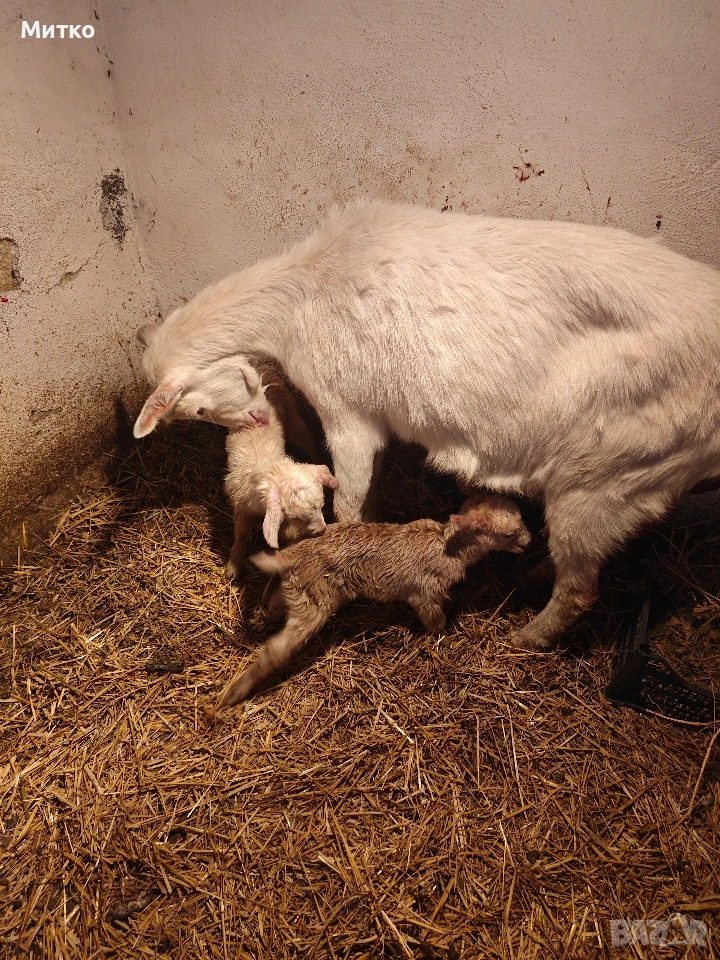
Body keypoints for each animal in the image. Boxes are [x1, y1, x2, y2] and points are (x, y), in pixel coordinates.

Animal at [216, 493, 531, 707]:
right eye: (508, 533)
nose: (529, 542)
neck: (447, 545)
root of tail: (293, 553)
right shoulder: (425, 594)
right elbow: (436, 621)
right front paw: (444, 640)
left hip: (303, 589)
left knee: (276, 601)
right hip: (316, 604)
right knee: (275, 649)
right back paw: (232, 695)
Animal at [224, 392, 338, 579]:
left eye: (322, 506)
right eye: (296, 517)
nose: (322, 531)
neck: (269, 468)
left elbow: (288, 534)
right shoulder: (242, 505)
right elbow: (241, 534)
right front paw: (234, 564)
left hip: (294, 419)